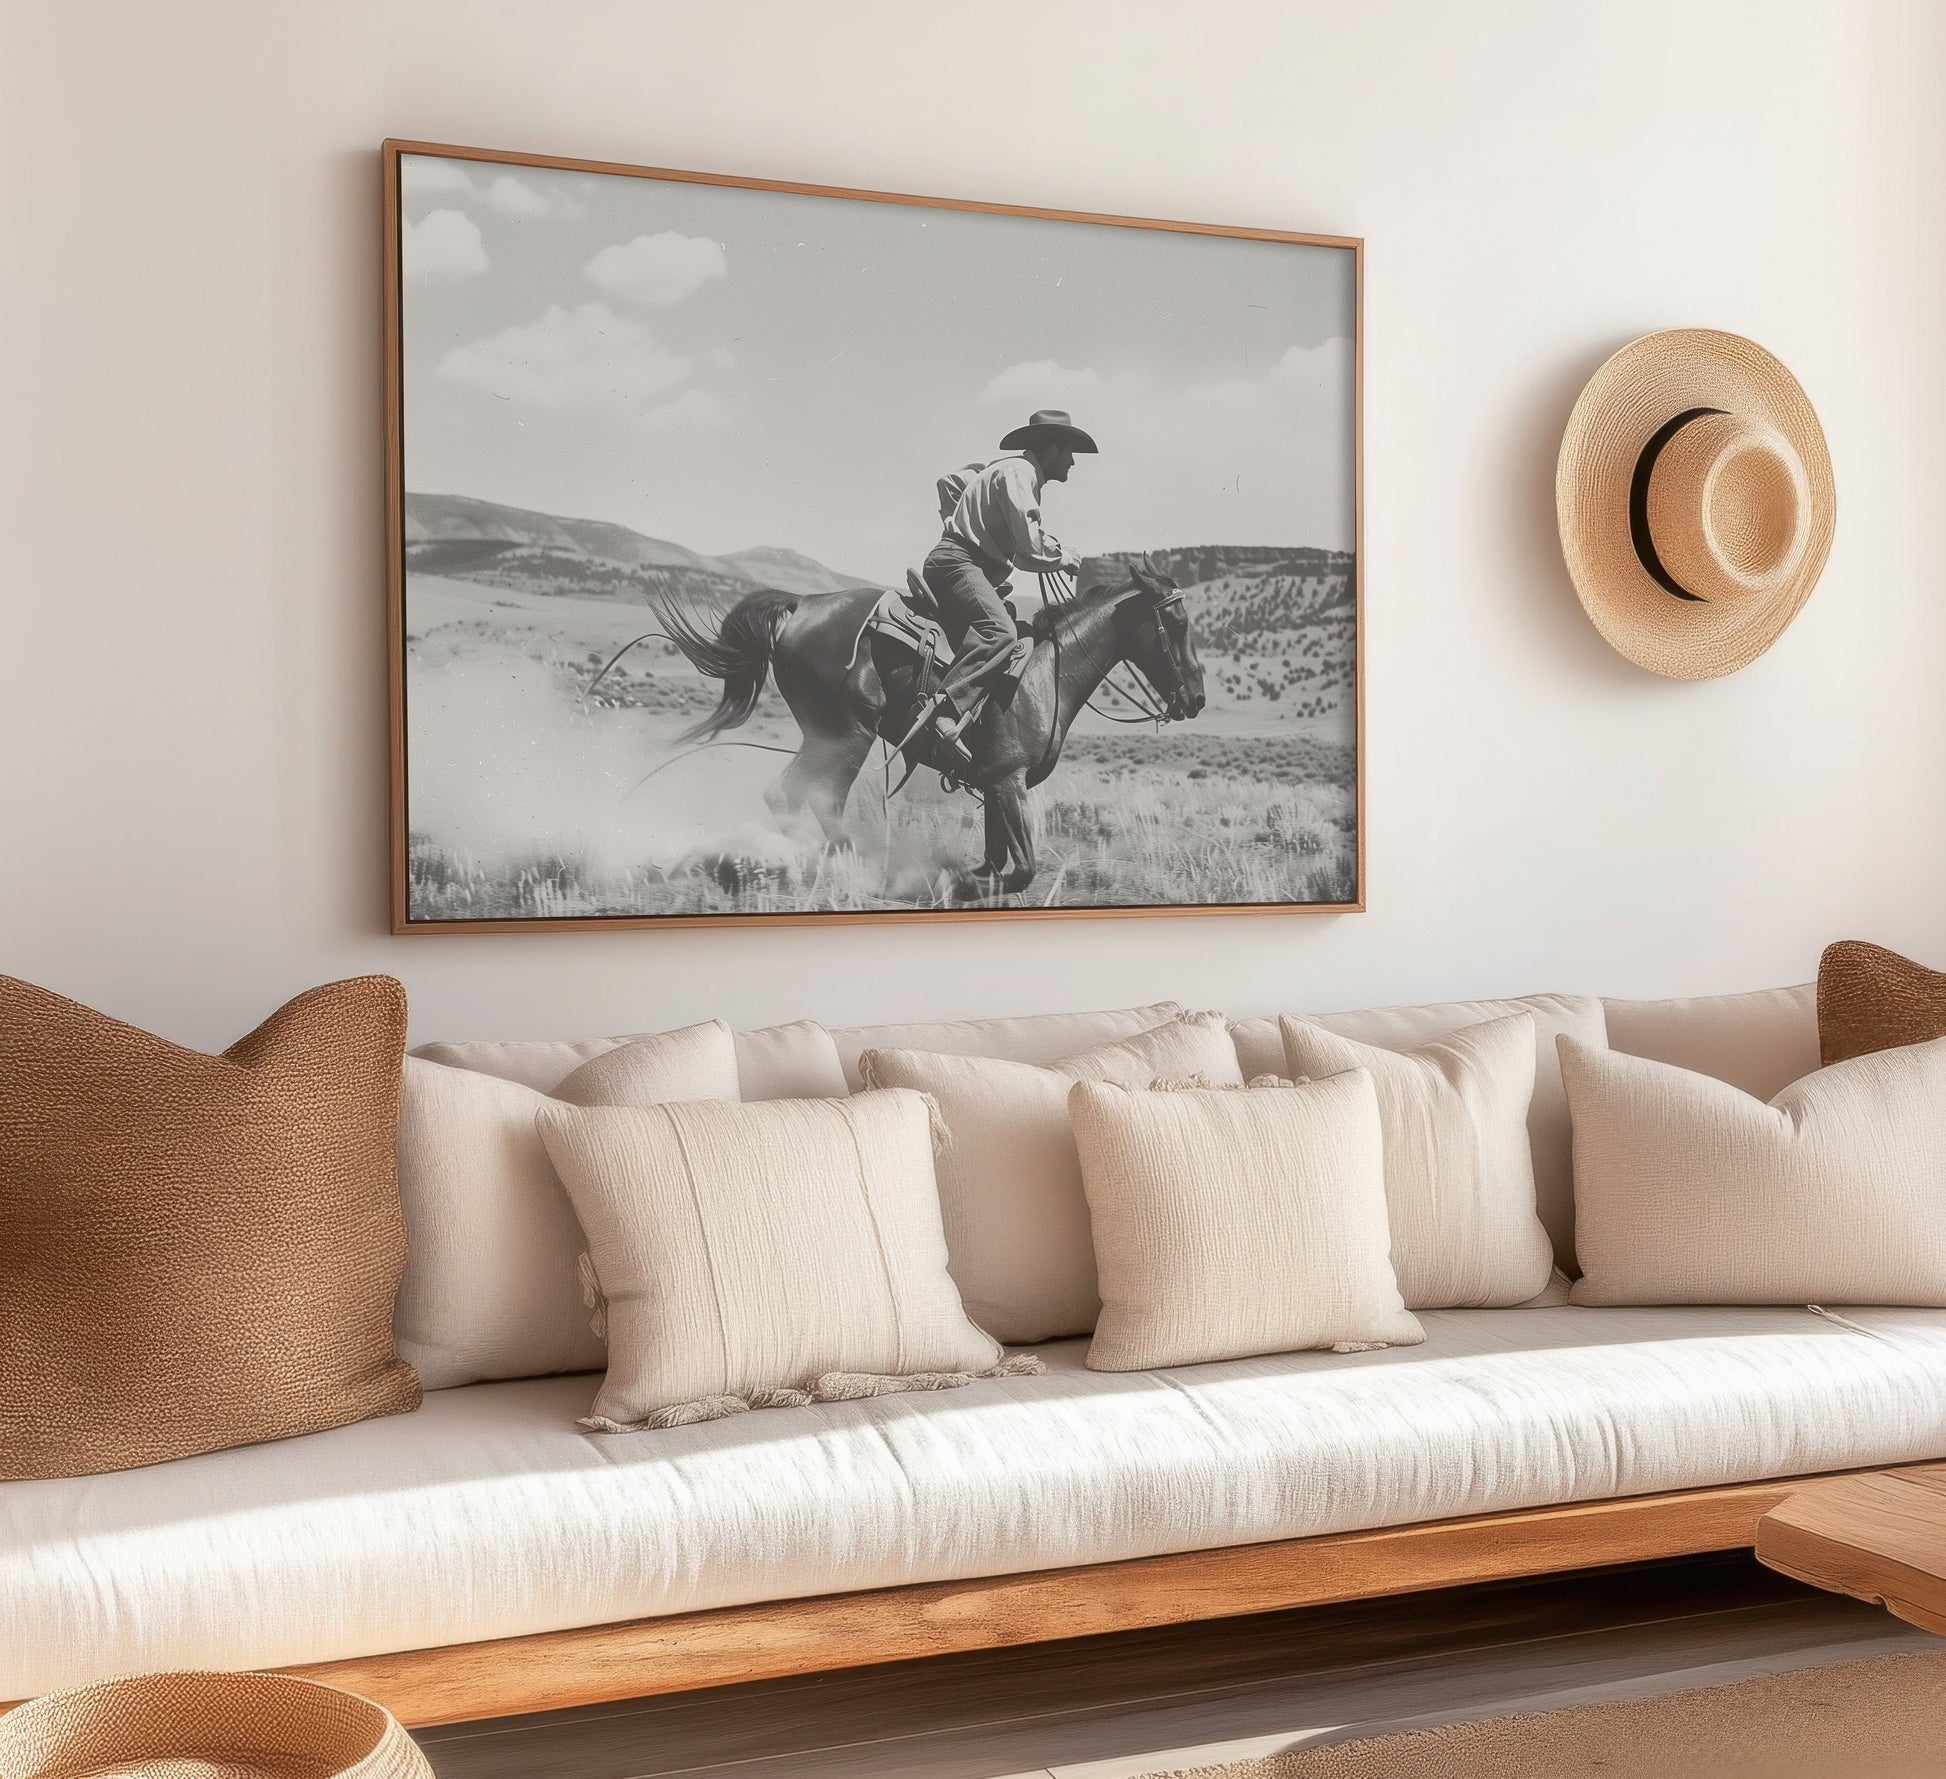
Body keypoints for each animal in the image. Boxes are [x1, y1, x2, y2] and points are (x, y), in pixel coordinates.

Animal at [653, 556, 1198, 895]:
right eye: (1177, 624)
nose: (1196, 697)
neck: (1049, 672)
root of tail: (801, 604)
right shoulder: (1009, 780)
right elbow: (1020, 869)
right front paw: (953, 883)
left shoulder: (994, 784)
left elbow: (996, 861)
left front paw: (964, 880)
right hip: (848, 736)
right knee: (816, 798)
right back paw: (852, 866)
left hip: (823, 735)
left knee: (786, 794)